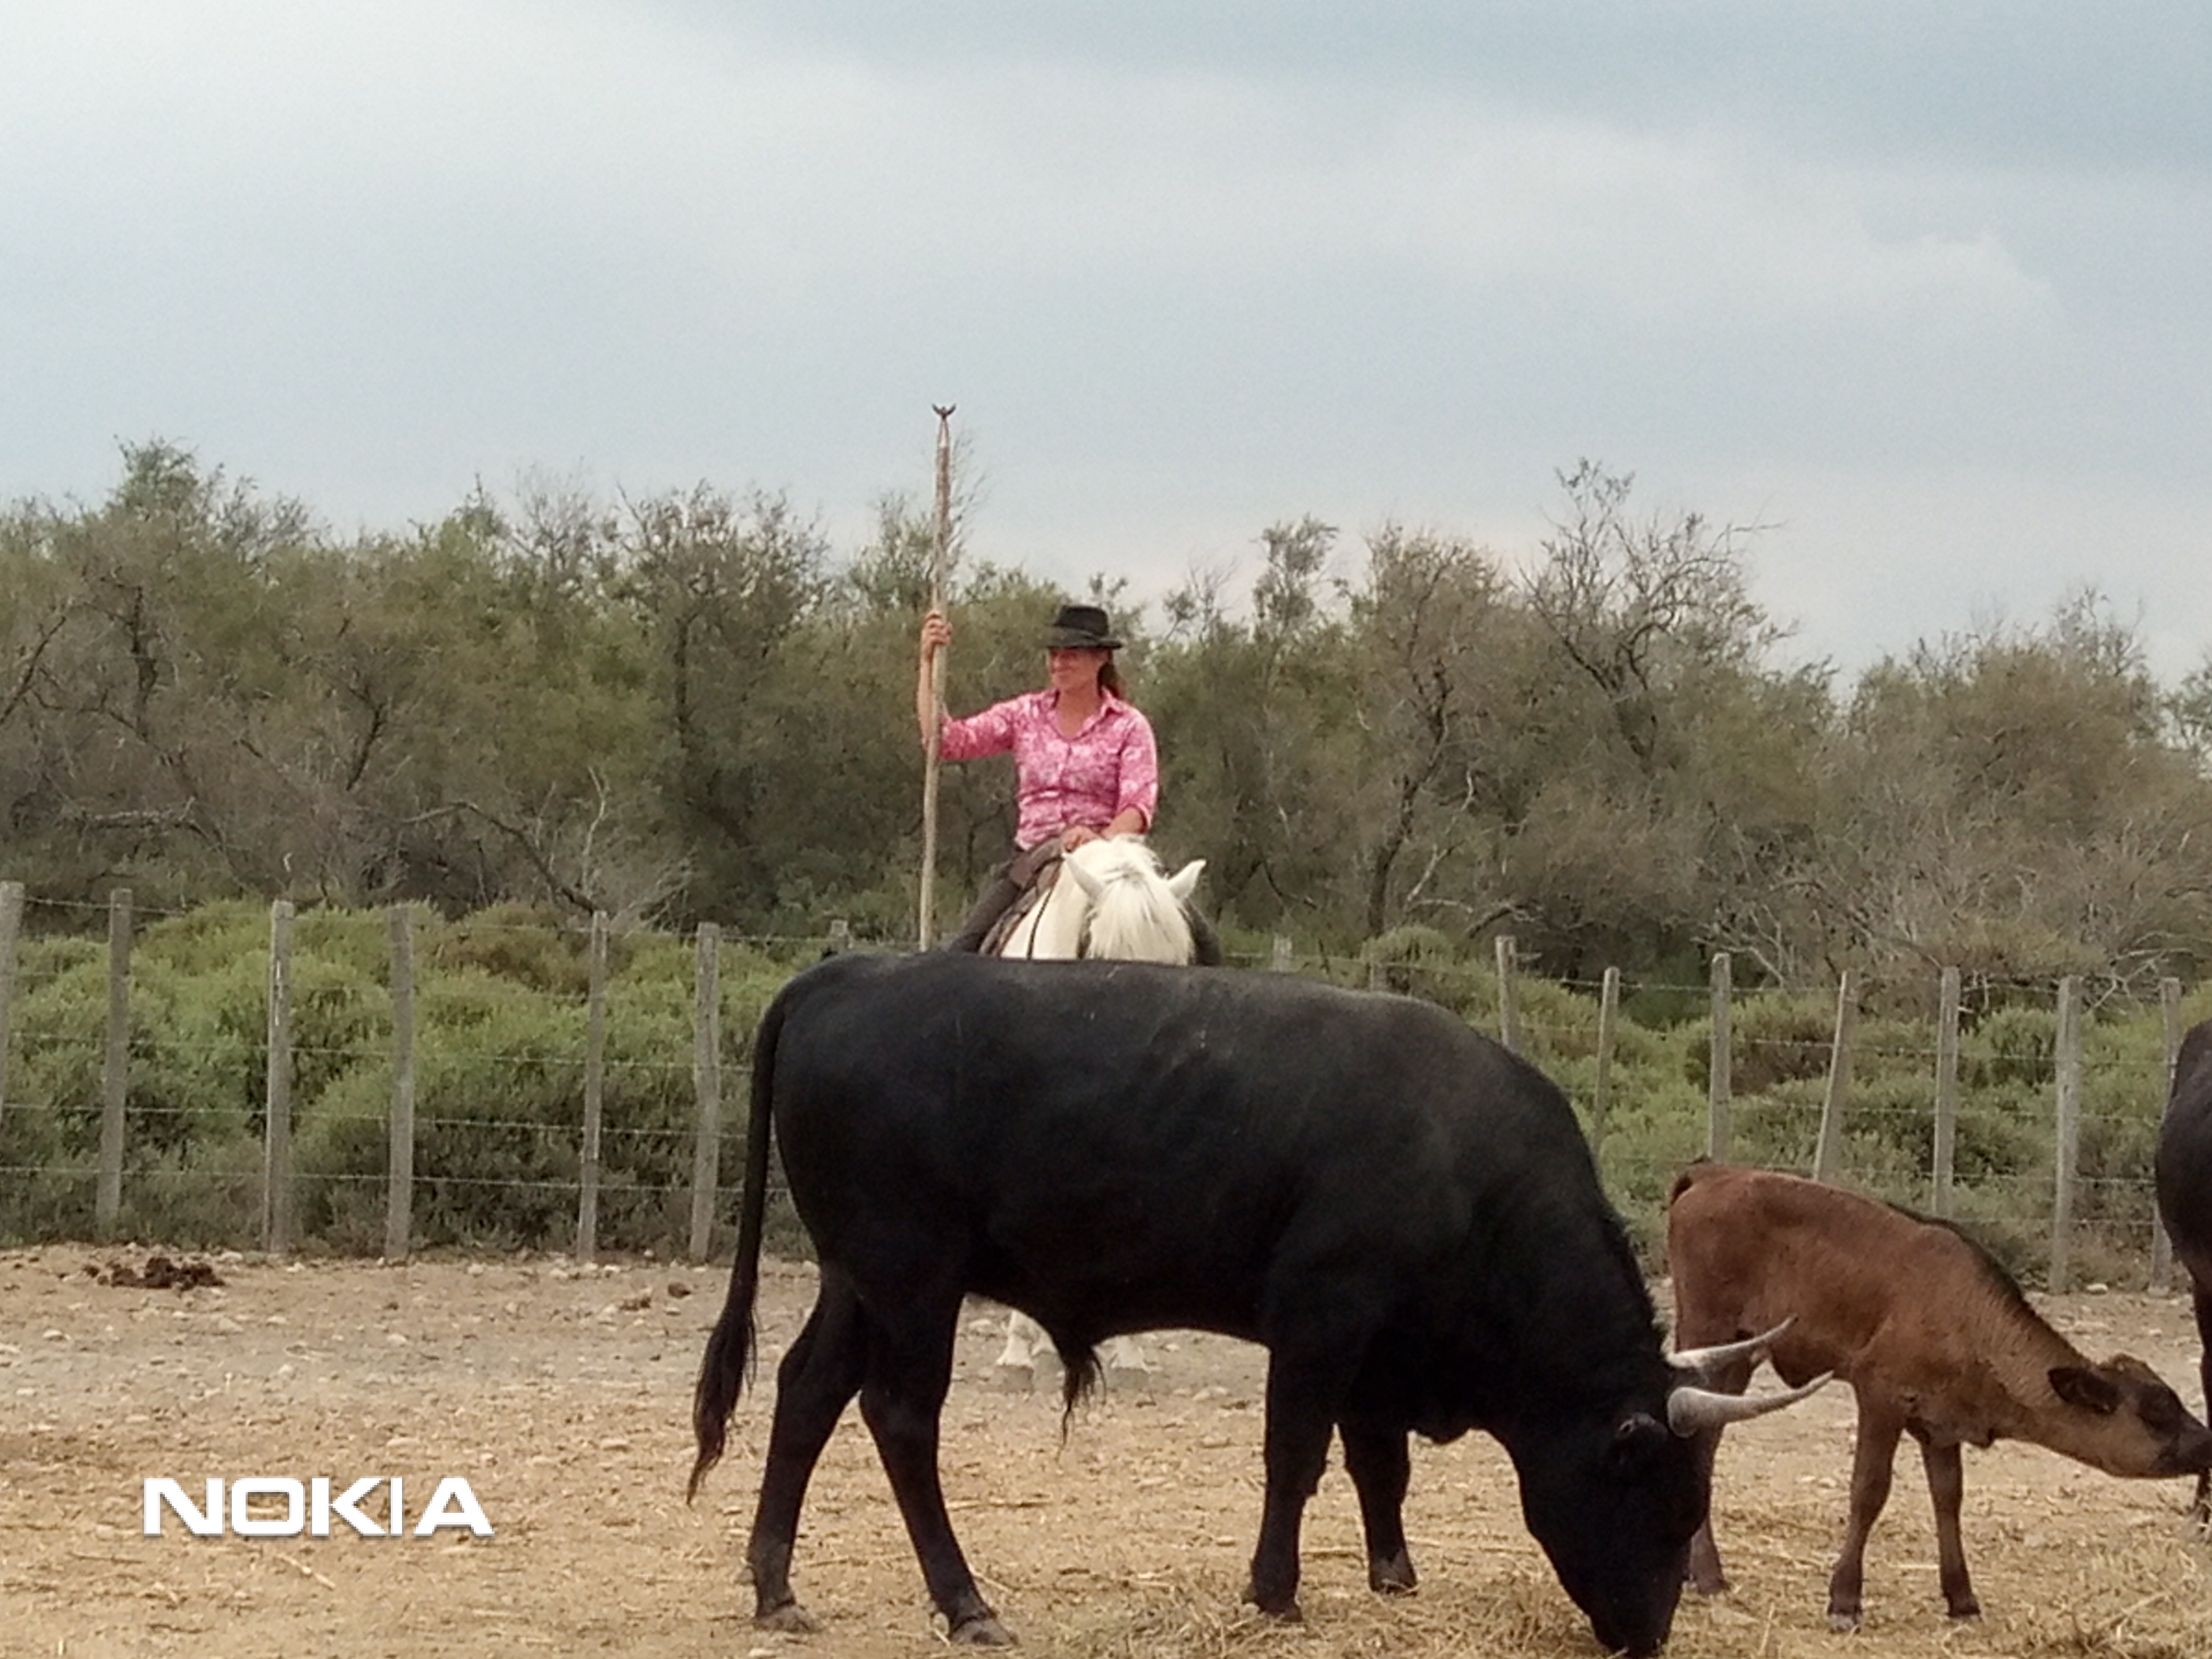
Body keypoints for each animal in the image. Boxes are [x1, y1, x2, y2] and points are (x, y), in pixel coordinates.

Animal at [689, 952, 1819, 1655]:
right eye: (1665, 1507)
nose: (1650, 1636)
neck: (1464, 1158)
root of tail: (849, 973)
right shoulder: (1324, 1315)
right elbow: (1298, 1456)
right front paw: (1276, 1591)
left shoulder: (1378, 1348)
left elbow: (1379, 1464)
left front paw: (1393, 1572)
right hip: (912, 1277)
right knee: (899, 1418)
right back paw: (965, 1602)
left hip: (857, 1280)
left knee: (806, 1394)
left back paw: (776, 1587)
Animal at [1668, 1161, 2212, 1630]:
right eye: (2157, 1413)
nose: (2208, 1443)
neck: (1966, 1316)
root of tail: (1713, 1173)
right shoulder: (1880, 1395)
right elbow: (1869, 1490)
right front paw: (1845, 1599)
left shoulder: (1942, 1425)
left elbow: (1949, 1498)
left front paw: (1962, 1598)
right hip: (1707, 1334)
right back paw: (1707, 1573)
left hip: (1737, 1360)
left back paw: (1699, 1570)